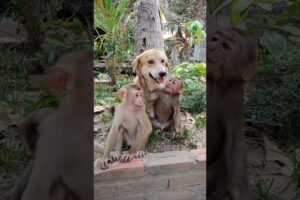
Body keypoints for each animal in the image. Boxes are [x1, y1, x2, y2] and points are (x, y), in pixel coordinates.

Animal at [207, 26, 256, 200]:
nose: (211, 47)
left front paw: (241, 191)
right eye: (215, 39)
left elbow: (235, 140)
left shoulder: (235, 96)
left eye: (225, 46)